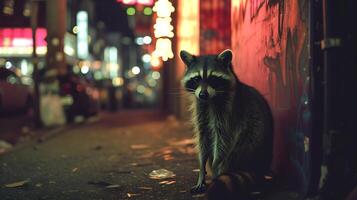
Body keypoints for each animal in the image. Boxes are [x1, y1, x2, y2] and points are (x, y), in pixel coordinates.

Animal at [179, 49, 274, 198]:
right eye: (196, 79)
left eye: (213, 79)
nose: (203, 95)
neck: (210, 100)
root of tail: (260, 167)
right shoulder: (201, 110)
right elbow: (203, 140)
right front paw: (201, 171)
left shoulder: (229, 111)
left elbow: (223, 141)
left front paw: (216, 173)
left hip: (248, 145)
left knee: (239, 146)